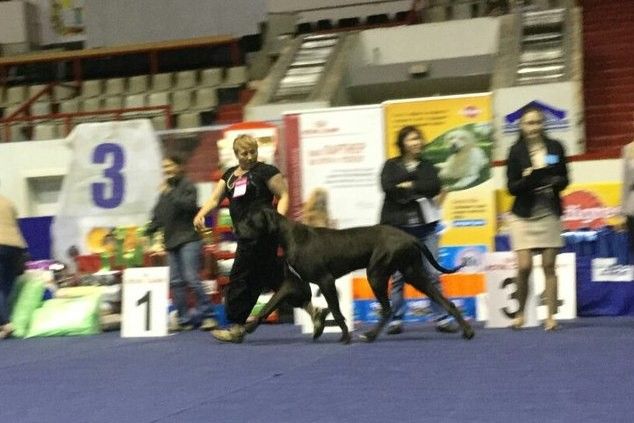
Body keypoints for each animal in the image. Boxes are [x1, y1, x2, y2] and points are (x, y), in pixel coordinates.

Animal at [237, 208, 475, 343]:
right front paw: (246, 328)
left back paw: (370, 335)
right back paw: (467, 331)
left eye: (250, 220)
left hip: (376, 275)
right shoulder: (292, 284)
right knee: (446, 302)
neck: (288, 236)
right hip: (413, 274)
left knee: (388, 309)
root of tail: (411, 237)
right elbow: (268, 306)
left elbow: (336, 311)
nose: (237, 231)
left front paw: (345, 336)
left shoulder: (325, 280)